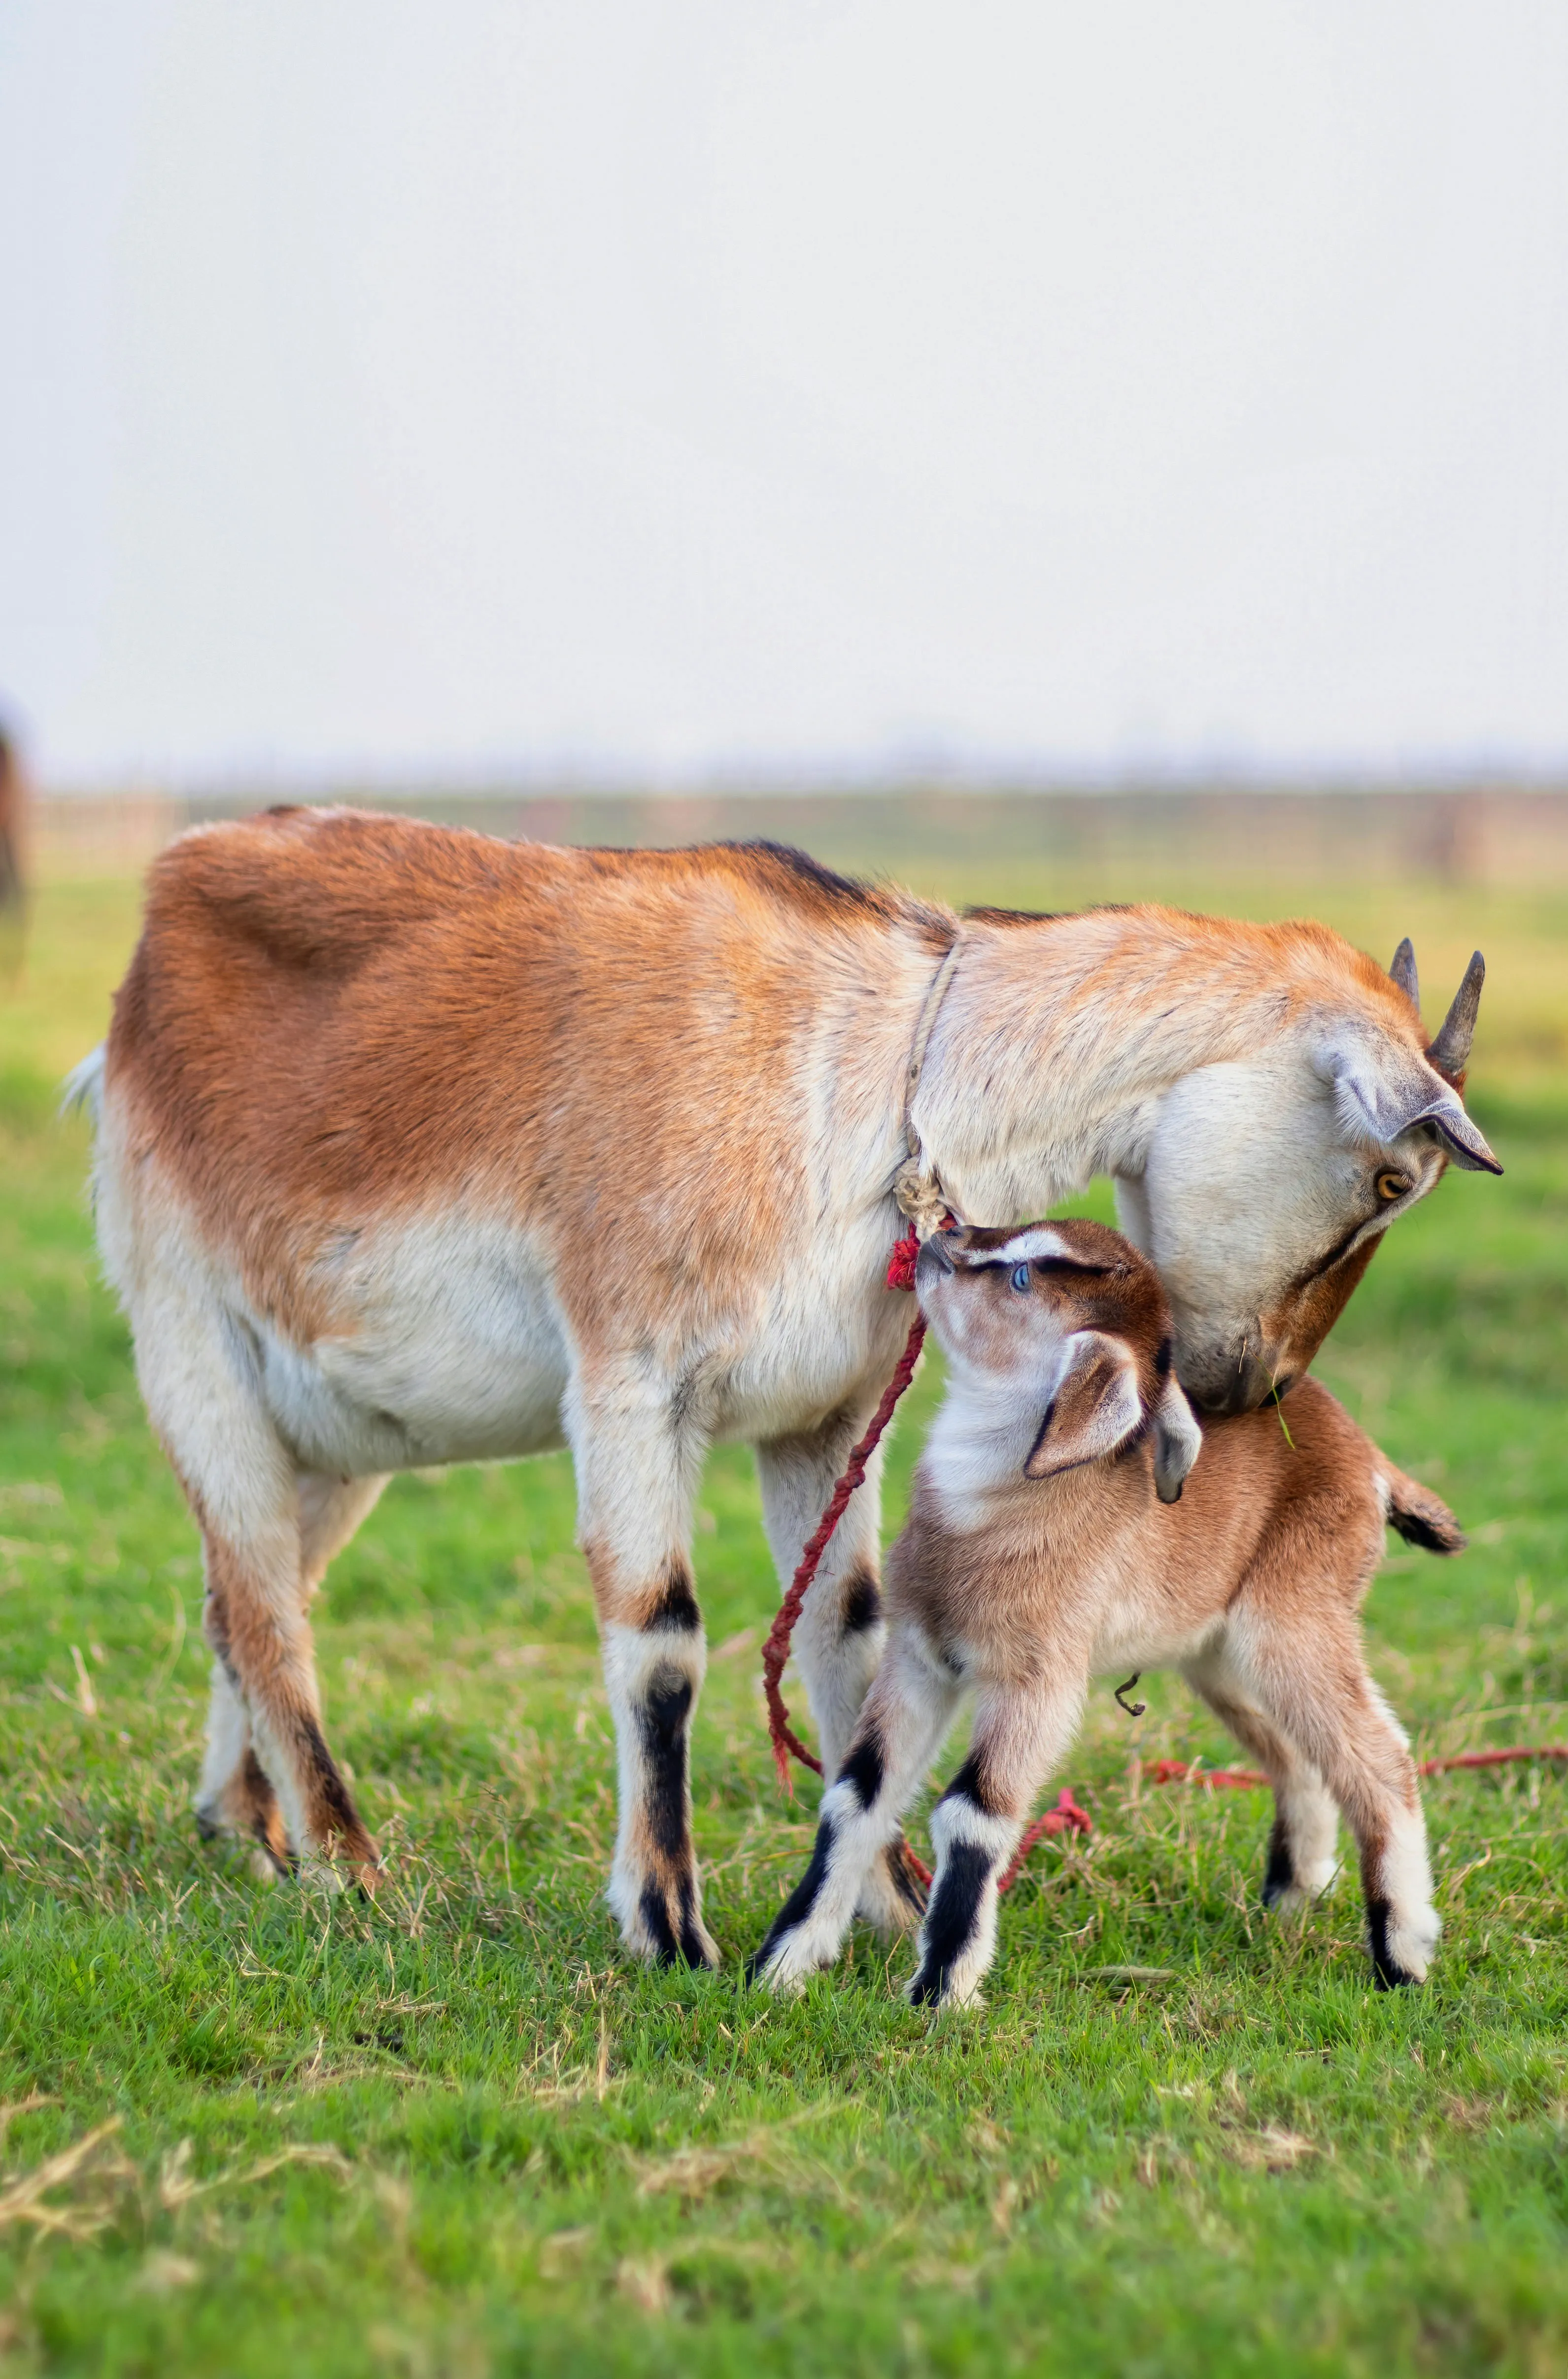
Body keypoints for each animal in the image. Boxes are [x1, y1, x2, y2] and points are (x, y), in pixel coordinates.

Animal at [753, 1217, 1463, 2005]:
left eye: (1022, 1277)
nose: (946, 1236)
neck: (994, 1501)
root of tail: (1369, 1459)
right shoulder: (917, 1658)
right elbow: (857, 1794)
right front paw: (780, 1967)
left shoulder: (1038, 1680)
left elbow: (971, 1811)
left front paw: (941, 1990)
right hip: (1219, 1654)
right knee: (1298, 1755)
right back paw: (1291, 1898)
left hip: (1296, 1619)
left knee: (1382, 1758)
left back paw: (1402, 1953)